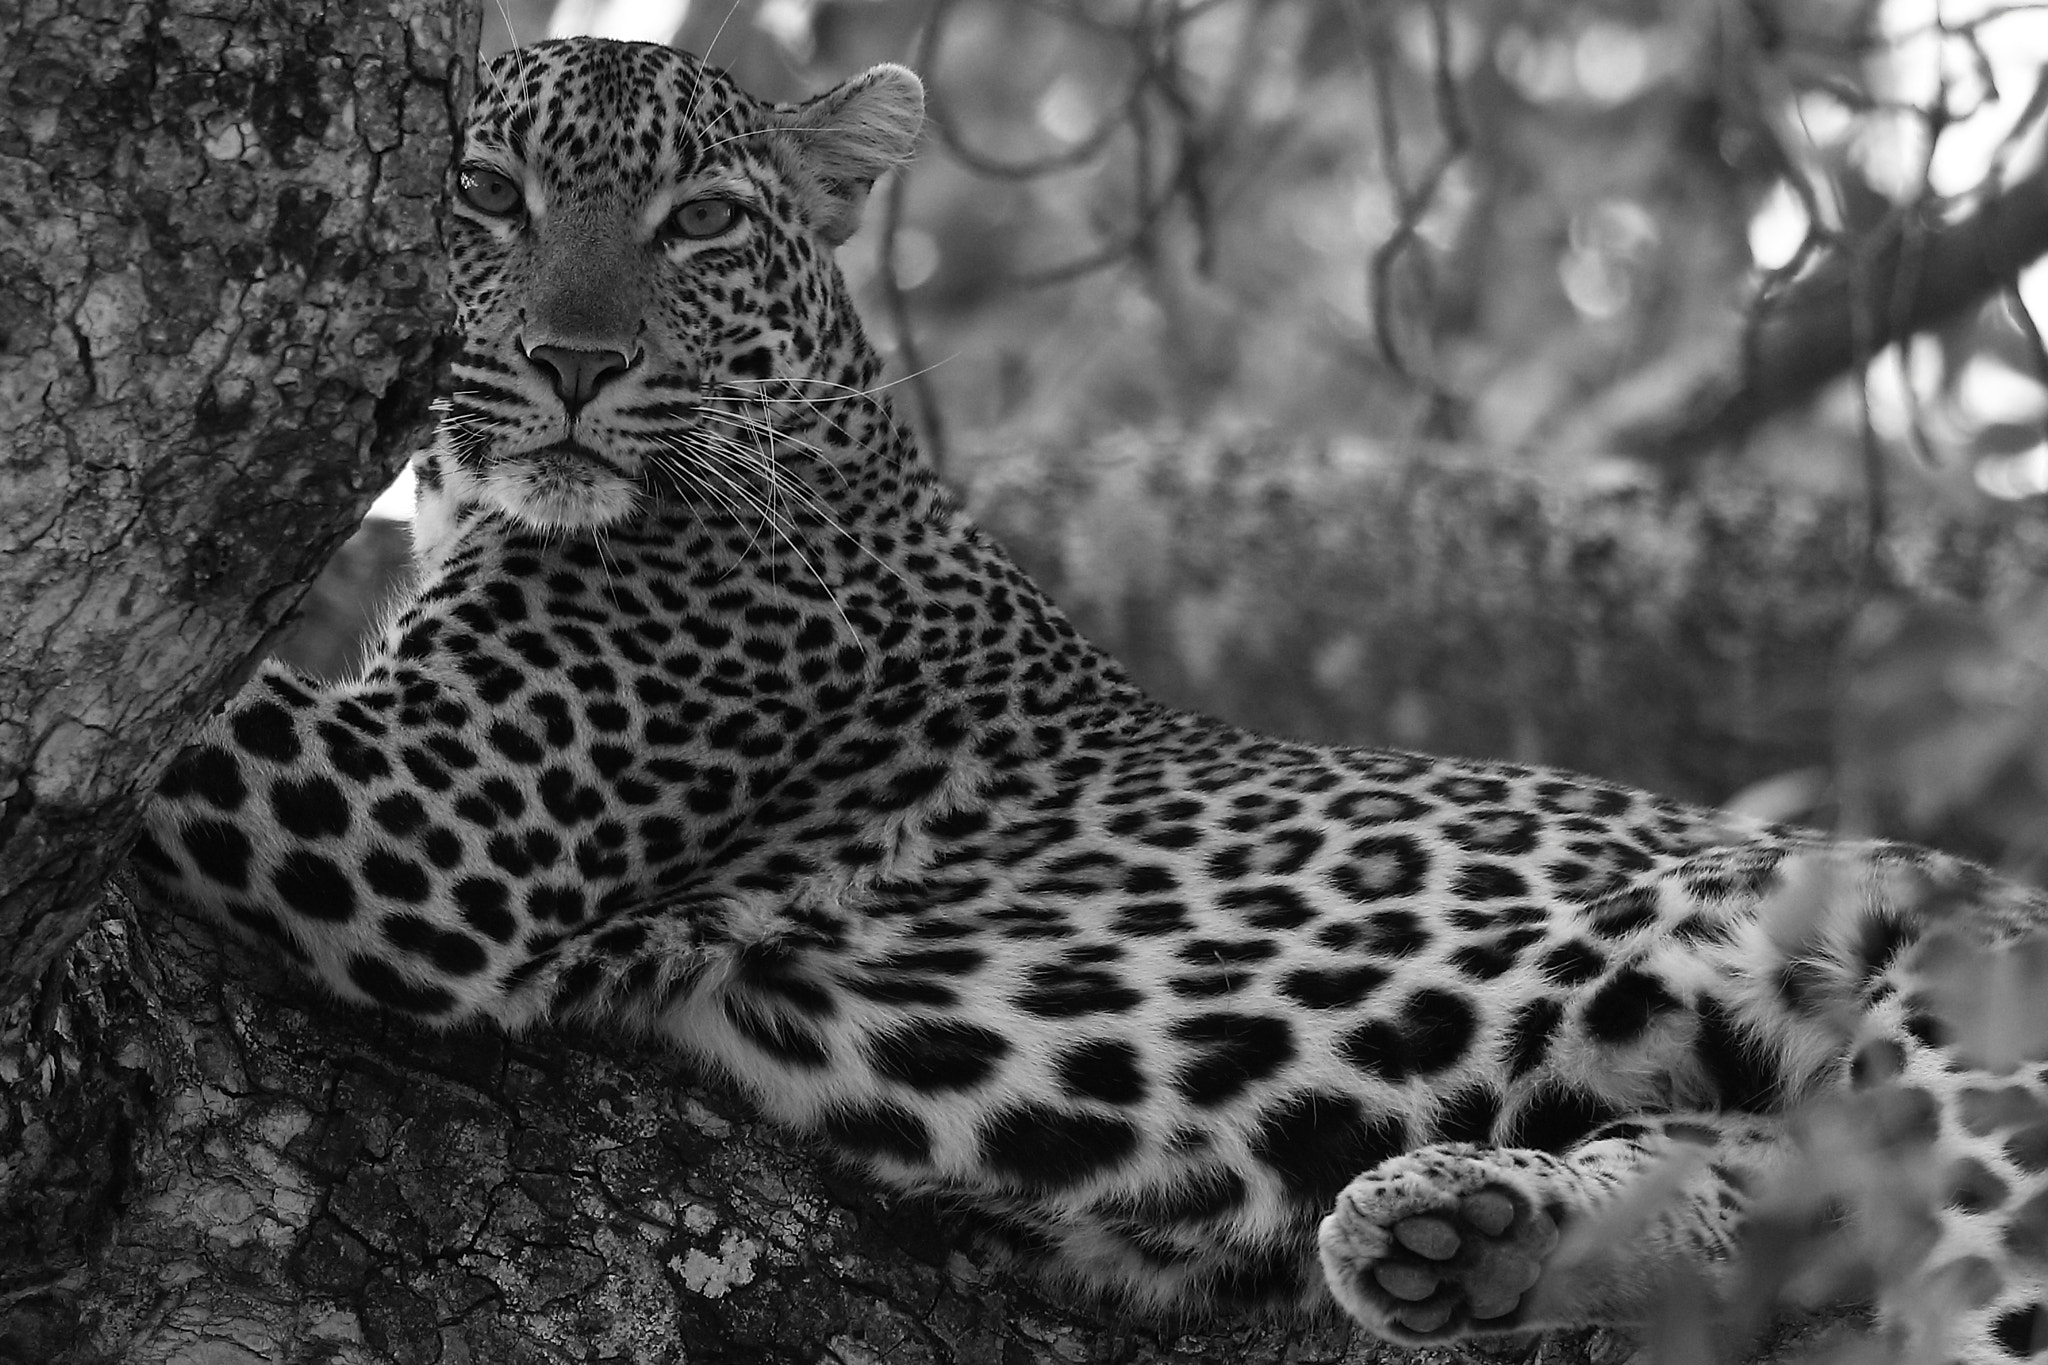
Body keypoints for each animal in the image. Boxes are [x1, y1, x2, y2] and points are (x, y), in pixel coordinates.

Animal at [134, 35, 2048, 1363]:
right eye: (482, 193)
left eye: (699, 224)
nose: (576, 364)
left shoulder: (432, 829)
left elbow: (192, 718)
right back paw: (1468, 1226)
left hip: (1958, 1014)